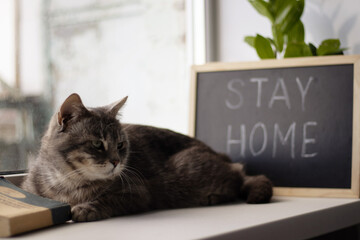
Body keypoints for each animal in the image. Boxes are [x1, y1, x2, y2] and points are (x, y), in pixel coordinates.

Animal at [21, 93, 272, 221]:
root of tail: (221, 154)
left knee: (239, 174)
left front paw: (86, 208)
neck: (68, 183)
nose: (116, 161)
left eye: (121, 144)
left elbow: (107, 200)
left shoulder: (138, 193)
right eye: (97, 143)